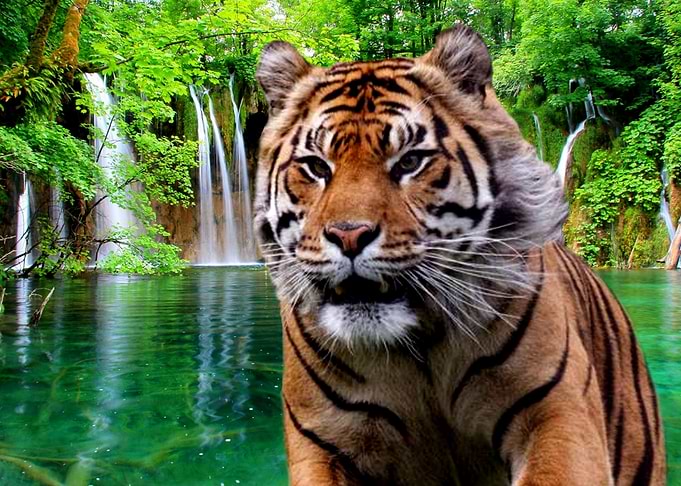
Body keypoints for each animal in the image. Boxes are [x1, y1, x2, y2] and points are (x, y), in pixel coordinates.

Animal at [253, 24, 666, 486]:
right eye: (317, 167)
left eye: (410, 162)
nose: (349, 236)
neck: (415, 354)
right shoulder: (322, 440)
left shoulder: (556, 413)